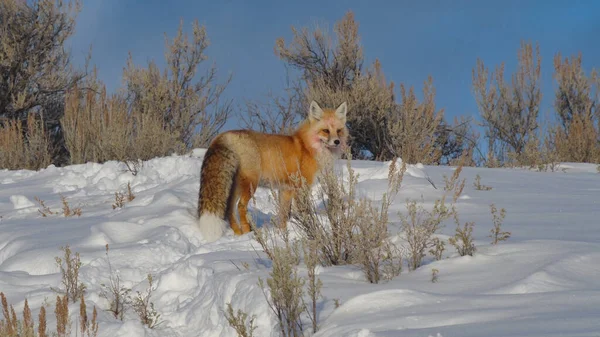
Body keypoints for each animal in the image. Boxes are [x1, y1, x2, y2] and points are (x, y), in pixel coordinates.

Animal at [197, 100, 350, 242]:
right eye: (326, 130)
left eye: (339, 131)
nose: (337, 141)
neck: (307, 147)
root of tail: (226, 135)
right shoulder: (301, 188)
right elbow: (304, 213)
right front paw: (310, 230)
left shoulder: (286, 190)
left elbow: (283, 215)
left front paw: (282, 233)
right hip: (251, 183)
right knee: (240, 206)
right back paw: (247, 232)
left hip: (235, 186)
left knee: (229, 209)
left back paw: (238, 234)